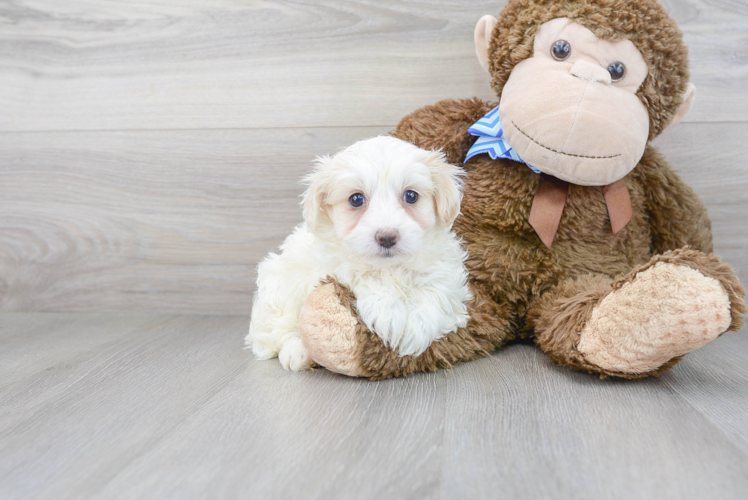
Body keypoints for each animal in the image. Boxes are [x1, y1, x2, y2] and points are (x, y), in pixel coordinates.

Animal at [245, 137, 470, 372]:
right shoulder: (336, 268)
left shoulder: (445, 272)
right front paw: (390, 318)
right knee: (275, 330)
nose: (387, 237)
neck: (389, 267)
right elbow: (365, 279)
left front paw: (416, 332)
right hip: (277, 284)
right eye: (356, 199)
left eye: (410, 196)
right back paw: (297, 350)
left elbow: (435, 293)